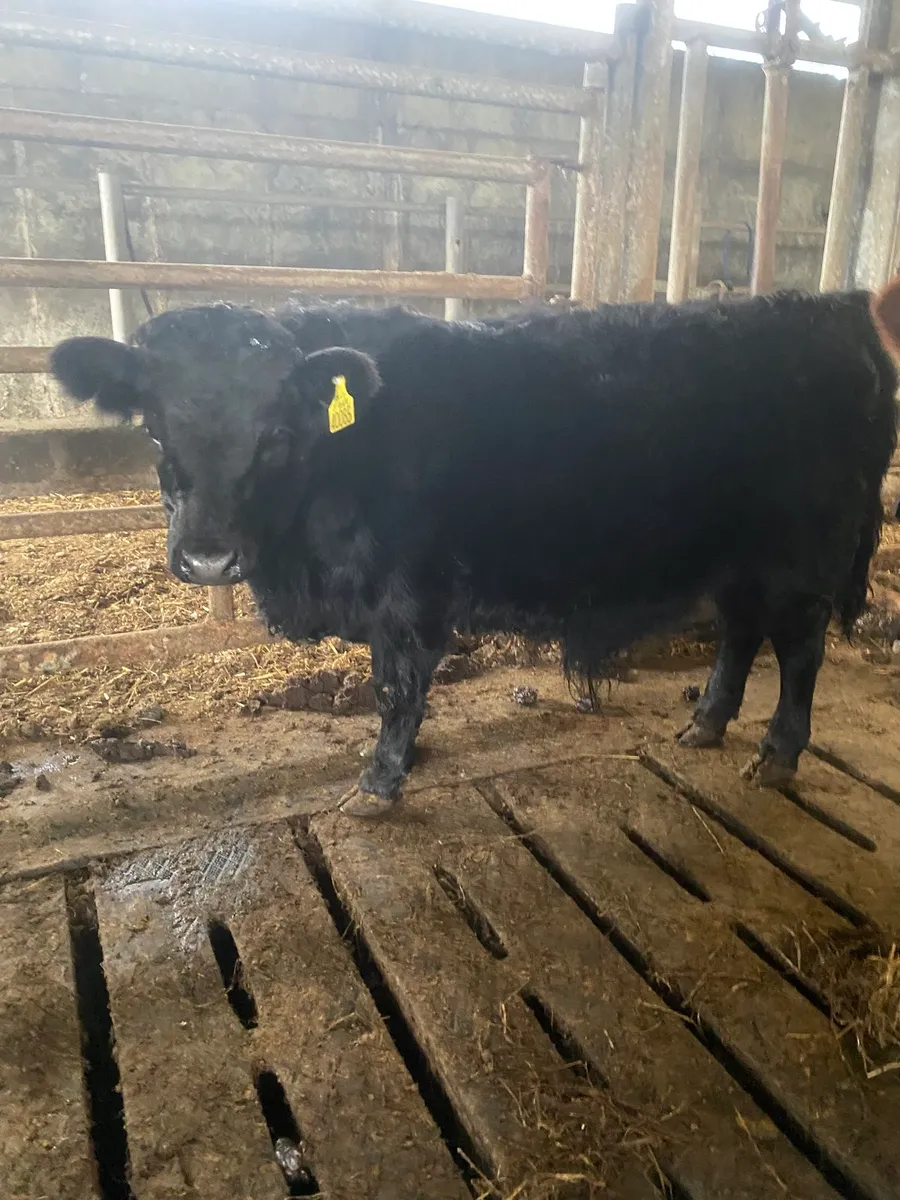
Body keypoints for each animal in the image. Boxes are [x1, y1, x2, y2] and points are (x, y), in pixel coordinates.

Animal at [50, 281, 900, 817]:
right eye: (155, 428)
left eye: (277, 435)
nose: (208, 558)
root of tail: (835, 311)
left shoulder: (407, 594)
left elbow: (396, 690)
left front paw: (378, 784)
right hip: (739, 558)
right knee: (741, 633)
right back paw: (706, 724)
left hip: (801, 557)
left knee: (799, 650)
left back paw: (778, 755)